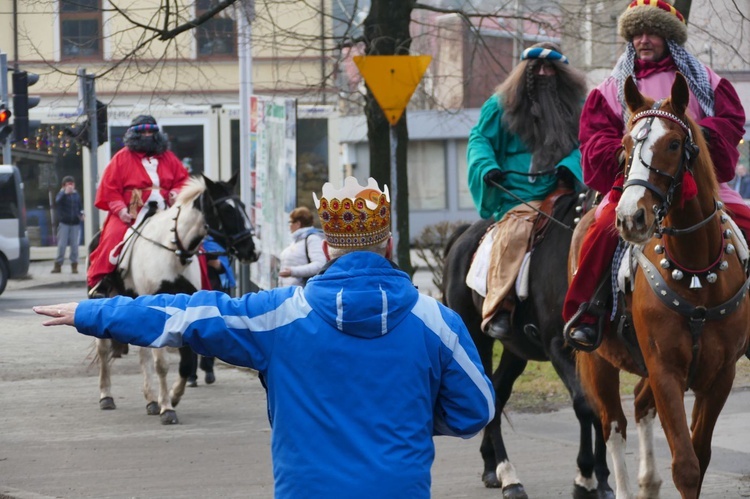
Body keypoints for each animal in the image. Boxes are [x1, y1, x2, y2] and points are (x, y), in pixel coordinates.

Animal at [444, 188, 612, 499]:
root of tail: (463, 236)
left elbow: (601, 408)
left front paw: (604, 480)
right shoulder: (559, 346)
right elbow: (584, 404)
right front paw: (584, 478)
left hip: (515, 350)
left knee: (498, 393)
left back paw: (491, 467)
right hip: (477, 338)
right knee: (489, 394)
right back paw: (510, 478)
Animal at [576, 74, 750, 499]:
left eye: (673, 144)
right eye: (624, 147)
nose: (630, 217)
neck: (696, 271)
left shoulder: (719, 375)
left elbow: (699, 459)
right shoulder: (665, 371)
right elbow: (686, 466)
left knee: (639, 408)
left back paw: (648, 481)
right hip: (599, 362)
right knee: (613, 425)